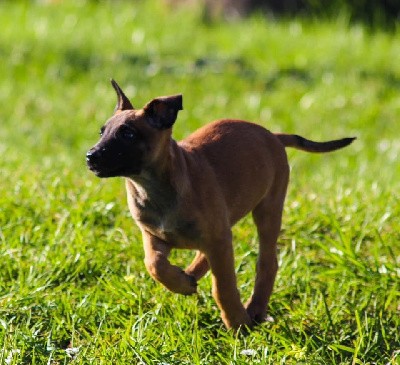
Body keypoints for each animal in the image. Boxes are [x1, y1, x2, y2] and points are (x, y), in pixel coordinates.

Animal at [86, 80, 354, 330]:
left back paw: (255, 310)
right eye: (102, 132)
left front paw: (238, 323)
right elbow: (154, 264)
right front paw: (181, 283)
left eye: (128, 134)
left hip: (267, 210)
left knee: (267, 263)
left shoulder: (218, 240)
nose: (90, 156)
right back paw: (191, 275)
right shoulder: (153, 235)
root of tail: (272, 136)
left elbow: (223, 287)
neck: (155, 186)